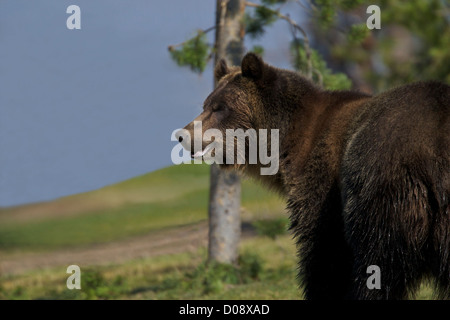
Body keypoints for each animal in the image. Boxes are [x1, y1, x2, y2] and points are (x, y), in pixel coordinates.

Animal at [177, 52, 450, 300]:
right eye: (206, 105)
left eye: (220, 108)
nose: (182, 134)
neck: (283, 144)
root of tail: (429, 146)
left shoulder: (323, 184)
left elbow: (323, 252)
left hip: (380, 182)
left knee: (376, 261)